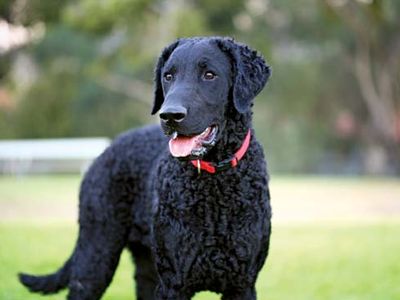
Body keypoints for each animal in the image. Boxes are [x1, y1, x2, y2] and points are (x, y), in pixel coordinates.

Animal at [17, 37, 270, 300]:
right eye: (168, 76)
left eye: (209, 74)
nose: (170, 115)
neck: (214, 188)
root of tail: (108, 149)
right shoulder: (173, 283)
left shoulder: (242, 284)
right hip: (96, 254)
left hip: (145, 266)